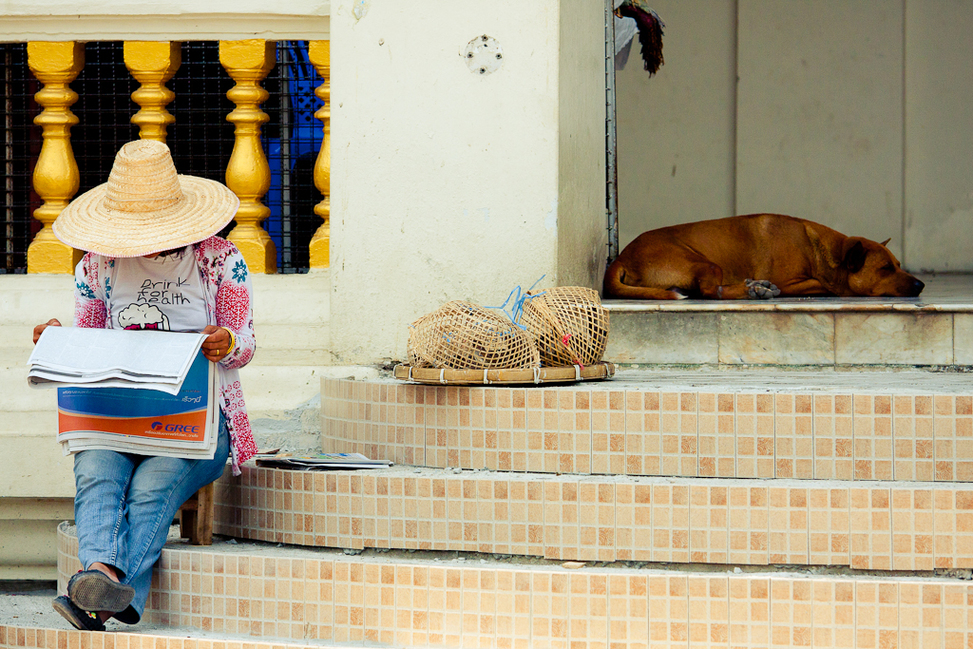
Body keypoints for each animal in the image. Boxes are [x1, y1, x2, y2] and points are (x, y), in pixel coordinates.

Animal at [600, 215, 928, 302]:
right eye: (885, 268)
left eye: (898, 265)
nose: (922, 285)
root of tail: (622, 257)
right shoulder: (797, 281)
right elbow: (824, 285)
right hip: (705, 262)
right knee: (710, 291)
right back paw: (753, 289)